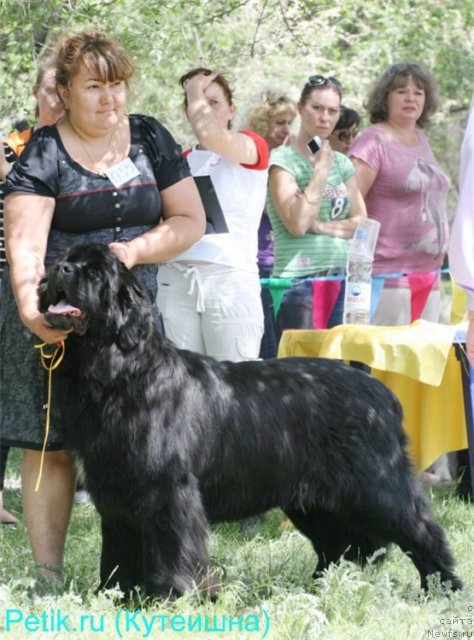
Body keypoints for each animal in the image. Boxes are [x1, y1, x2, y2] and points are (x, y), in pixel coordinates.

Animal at [39, 242, 462, 596]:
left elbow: (173, 547)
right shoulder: (112, 489)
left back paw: (444, 589)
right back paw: (318, 588)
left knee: (421, 530)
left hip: (376, 486)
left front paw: (173, 596)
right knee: (344, 546)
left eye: (95, 273)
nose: (58, 268)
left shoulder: (167, 489)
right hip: (315, 501)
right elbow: (118, 552)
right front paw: (116, 597)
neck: (120, 370)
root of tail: (379, 391)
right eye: (66, 258)